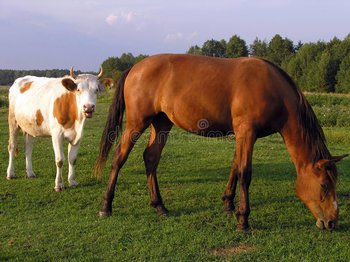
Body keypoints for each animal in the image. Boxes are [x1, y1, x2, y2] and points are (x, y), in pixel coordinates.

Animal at [93, 54, 348, 230]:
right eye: (325, 185)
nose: (332, 222)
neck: (273, 90)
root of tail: (136, 67)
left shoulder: (242, 135)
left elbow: (235, 167)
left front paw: (228, 204)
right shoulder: (246, 132)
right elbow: (245, 172)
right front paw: (243, 219)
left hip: (162, 123)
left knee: (151, 158)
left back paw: (160, 206)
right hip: (137, 123)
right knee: (119, 157)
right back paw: (106, 206)